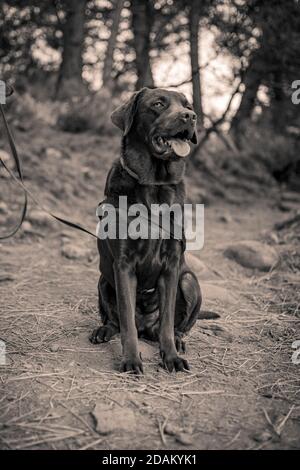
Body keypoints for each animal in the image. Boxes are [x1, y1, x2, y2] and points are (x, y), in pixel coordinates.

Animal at [90, 88, 205, 374]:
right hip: (103, 280)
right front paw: (131, 360)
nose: (190, 116)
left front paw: (170, 357)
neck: (154, 184)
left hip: (190, 281)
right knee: (116, 321)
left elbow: (166, 323)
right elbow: (127, 321)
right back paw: (103, 330)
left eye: (188, 106)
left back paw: (178, 340)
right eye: (158, 104)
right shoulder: (123, 265)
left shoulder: (172, 265)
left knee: (176, 326)